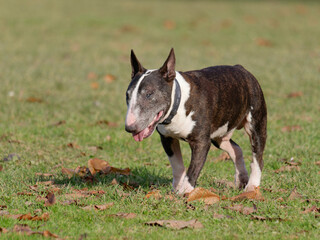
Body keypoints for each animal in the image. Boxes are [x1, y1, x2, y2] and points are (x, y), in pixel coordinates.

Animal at [125, 48, 268, 195]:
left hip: (256, 124)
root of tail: (241, 68)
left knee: (258, 157)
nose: (130, 128)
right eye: (127, 95)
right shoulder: (167, 139)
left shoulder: (201, 142)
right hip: (219, 134)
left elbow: (193, 168)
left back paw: (251, 186)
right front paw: (176, 189)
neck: (178, 103)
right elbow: (177, 166)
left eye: (149, 94)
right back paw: (241, 179)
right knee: (236, 149)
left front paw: (185, 191)